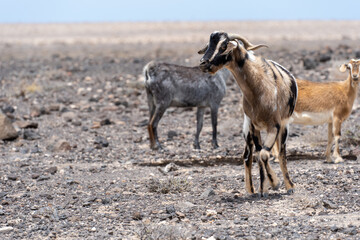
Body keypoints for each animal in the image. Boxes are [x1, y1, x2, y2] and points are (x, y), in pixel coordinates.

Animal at [198, 31, 296, 197]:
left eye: (223, 46)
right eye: (209, 44)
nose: (203, 63)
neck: (261, 89)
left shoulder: (275, 126)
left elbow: (264, 154)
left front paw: (275, 184)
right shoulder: (254, 127)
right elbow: (259, 155)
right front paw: (264, 188)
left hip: (283, 127)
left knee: (280, 153)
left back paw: (289, 186)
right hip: (247, 131)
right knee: (248, 155)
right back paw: (252, 189)